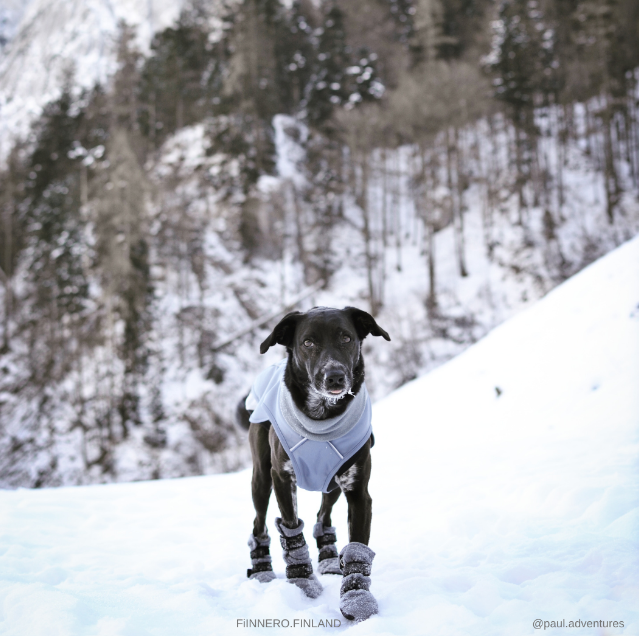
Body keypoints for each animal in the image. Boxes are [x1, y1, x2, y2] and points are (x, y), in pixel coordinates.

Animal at [236, 306, 390, 620]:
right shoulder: (282, 478)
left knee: (323, 516)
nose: (334, 377)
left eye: (346, 338)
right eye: (308, 342)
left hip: (332, 484)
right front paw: (302, 581)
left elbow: (357, 548)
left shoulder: (358, 491)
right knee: (259, 524)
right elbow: (292, 531)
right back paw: (261, 570)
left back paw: (329, 559)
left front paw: (357, 598)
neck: (322, 417)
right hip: (261, 479)